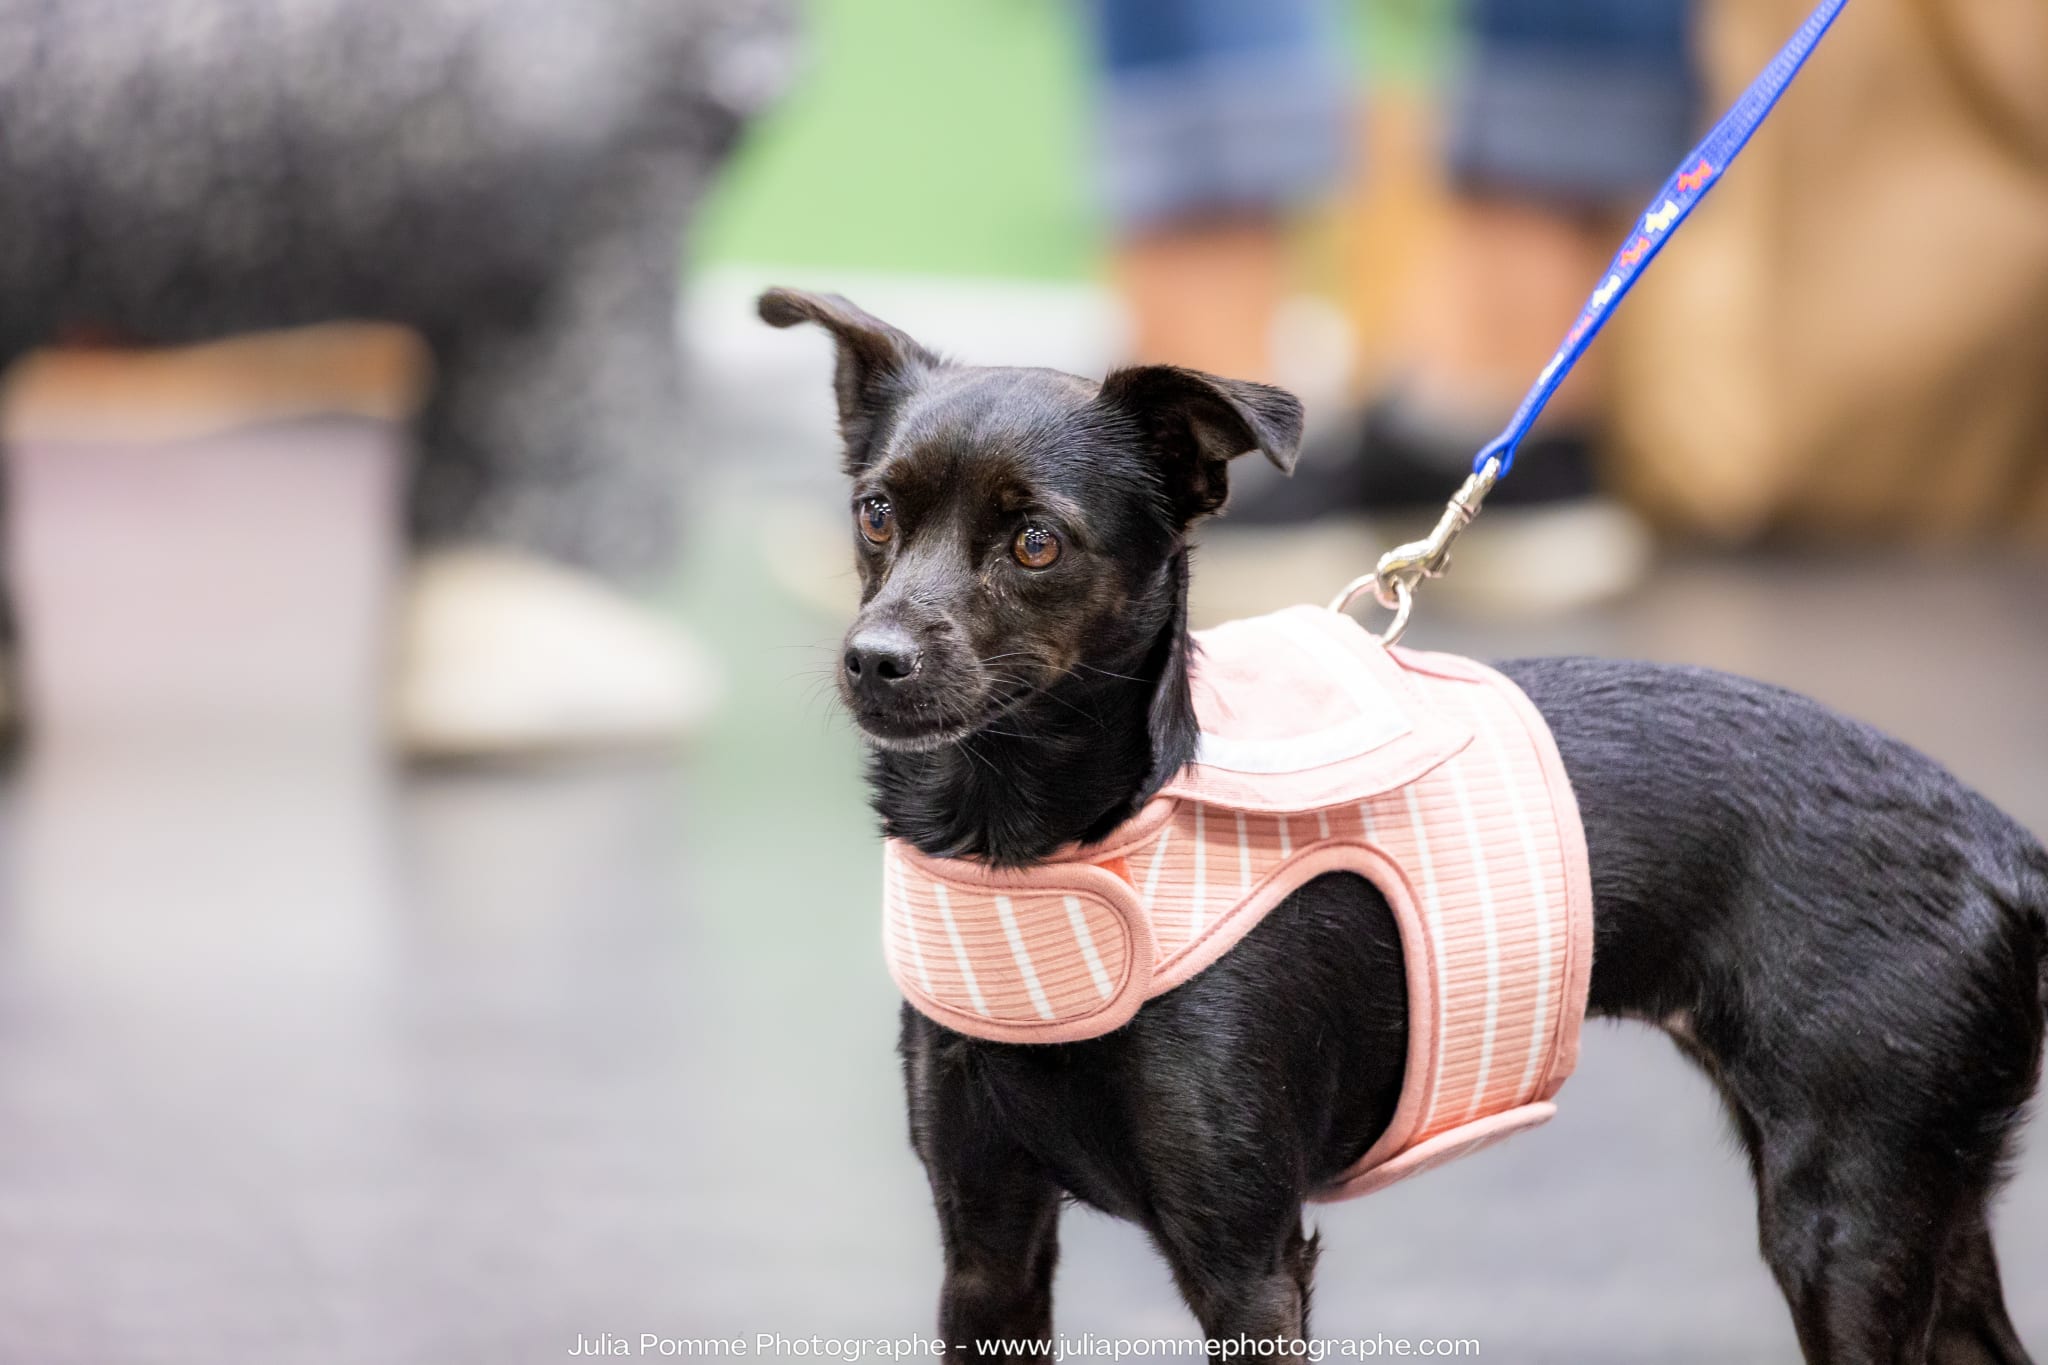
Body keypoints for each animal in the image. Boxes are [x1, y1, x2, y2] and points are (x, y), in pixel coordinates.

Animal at [765, 290, 2048, 1365]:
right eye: (874, 514)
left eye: (1036, 541)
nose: (873, 658)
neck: (1044, 847)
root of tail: (2001, 843)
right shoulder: (987, 1248)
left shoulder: (1246, 1266)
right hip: (1921, 1204)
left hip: (1845, 1218)